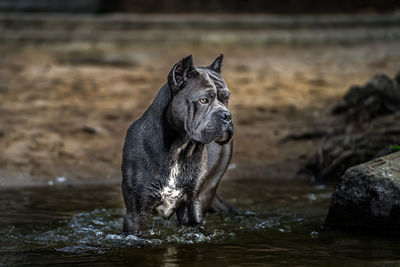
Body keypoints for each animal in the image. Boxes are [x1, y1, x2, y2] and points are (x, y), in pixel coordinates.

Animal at [122, 54, 234, 237]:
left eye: (226, 99)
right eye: (204, 100)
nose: (227, 115)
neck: (179, 147)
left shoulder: (192, 206)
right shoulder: (136, 212)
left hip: (207, 191)